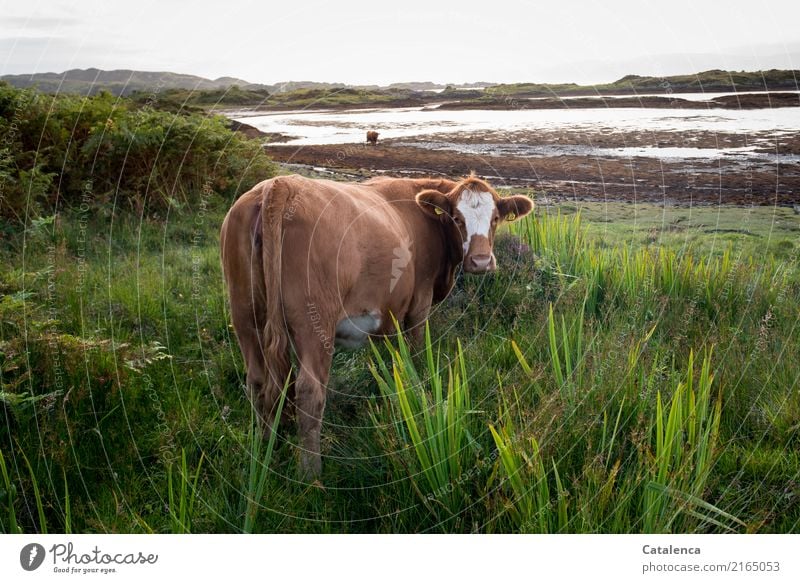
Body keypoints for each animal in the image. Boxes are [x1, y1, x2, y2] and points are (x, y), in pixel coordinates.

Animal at [219, 173, 532, 480]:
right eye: (456, 218)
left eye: (495, 218)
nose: (480, 261)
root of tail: (278, 186)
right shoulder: (419, 303)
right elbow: (415, 355)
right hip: (315, 323)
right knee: (309, 391)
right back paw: (311, 476)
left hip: (245, 316)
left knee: (258, 382)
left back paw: (263, 449)